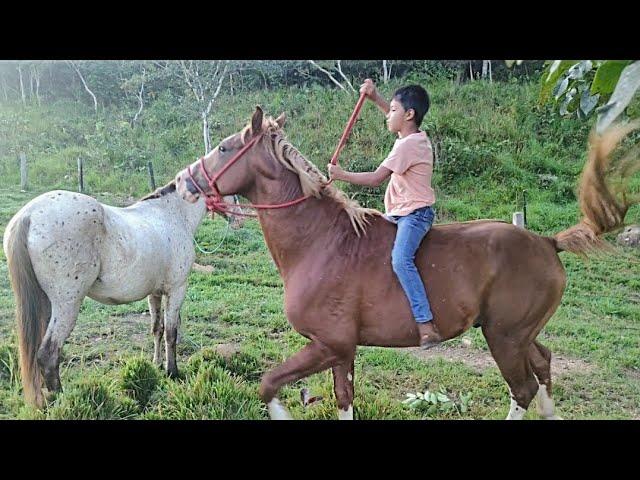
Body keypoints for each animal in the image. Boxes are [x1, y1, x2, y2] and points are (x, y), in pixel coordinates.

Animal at [172, 109, 636, 420]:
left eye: (225, 148)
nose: (181, 182)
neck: (320, 242)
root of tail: (546, 241)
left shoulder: (328, 344)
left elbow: (268, 383)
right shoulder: (342, 350)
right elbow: (343, 400)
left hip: (504, 338)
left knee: (522, 388)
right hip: (521, 335)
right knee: (542, 365)